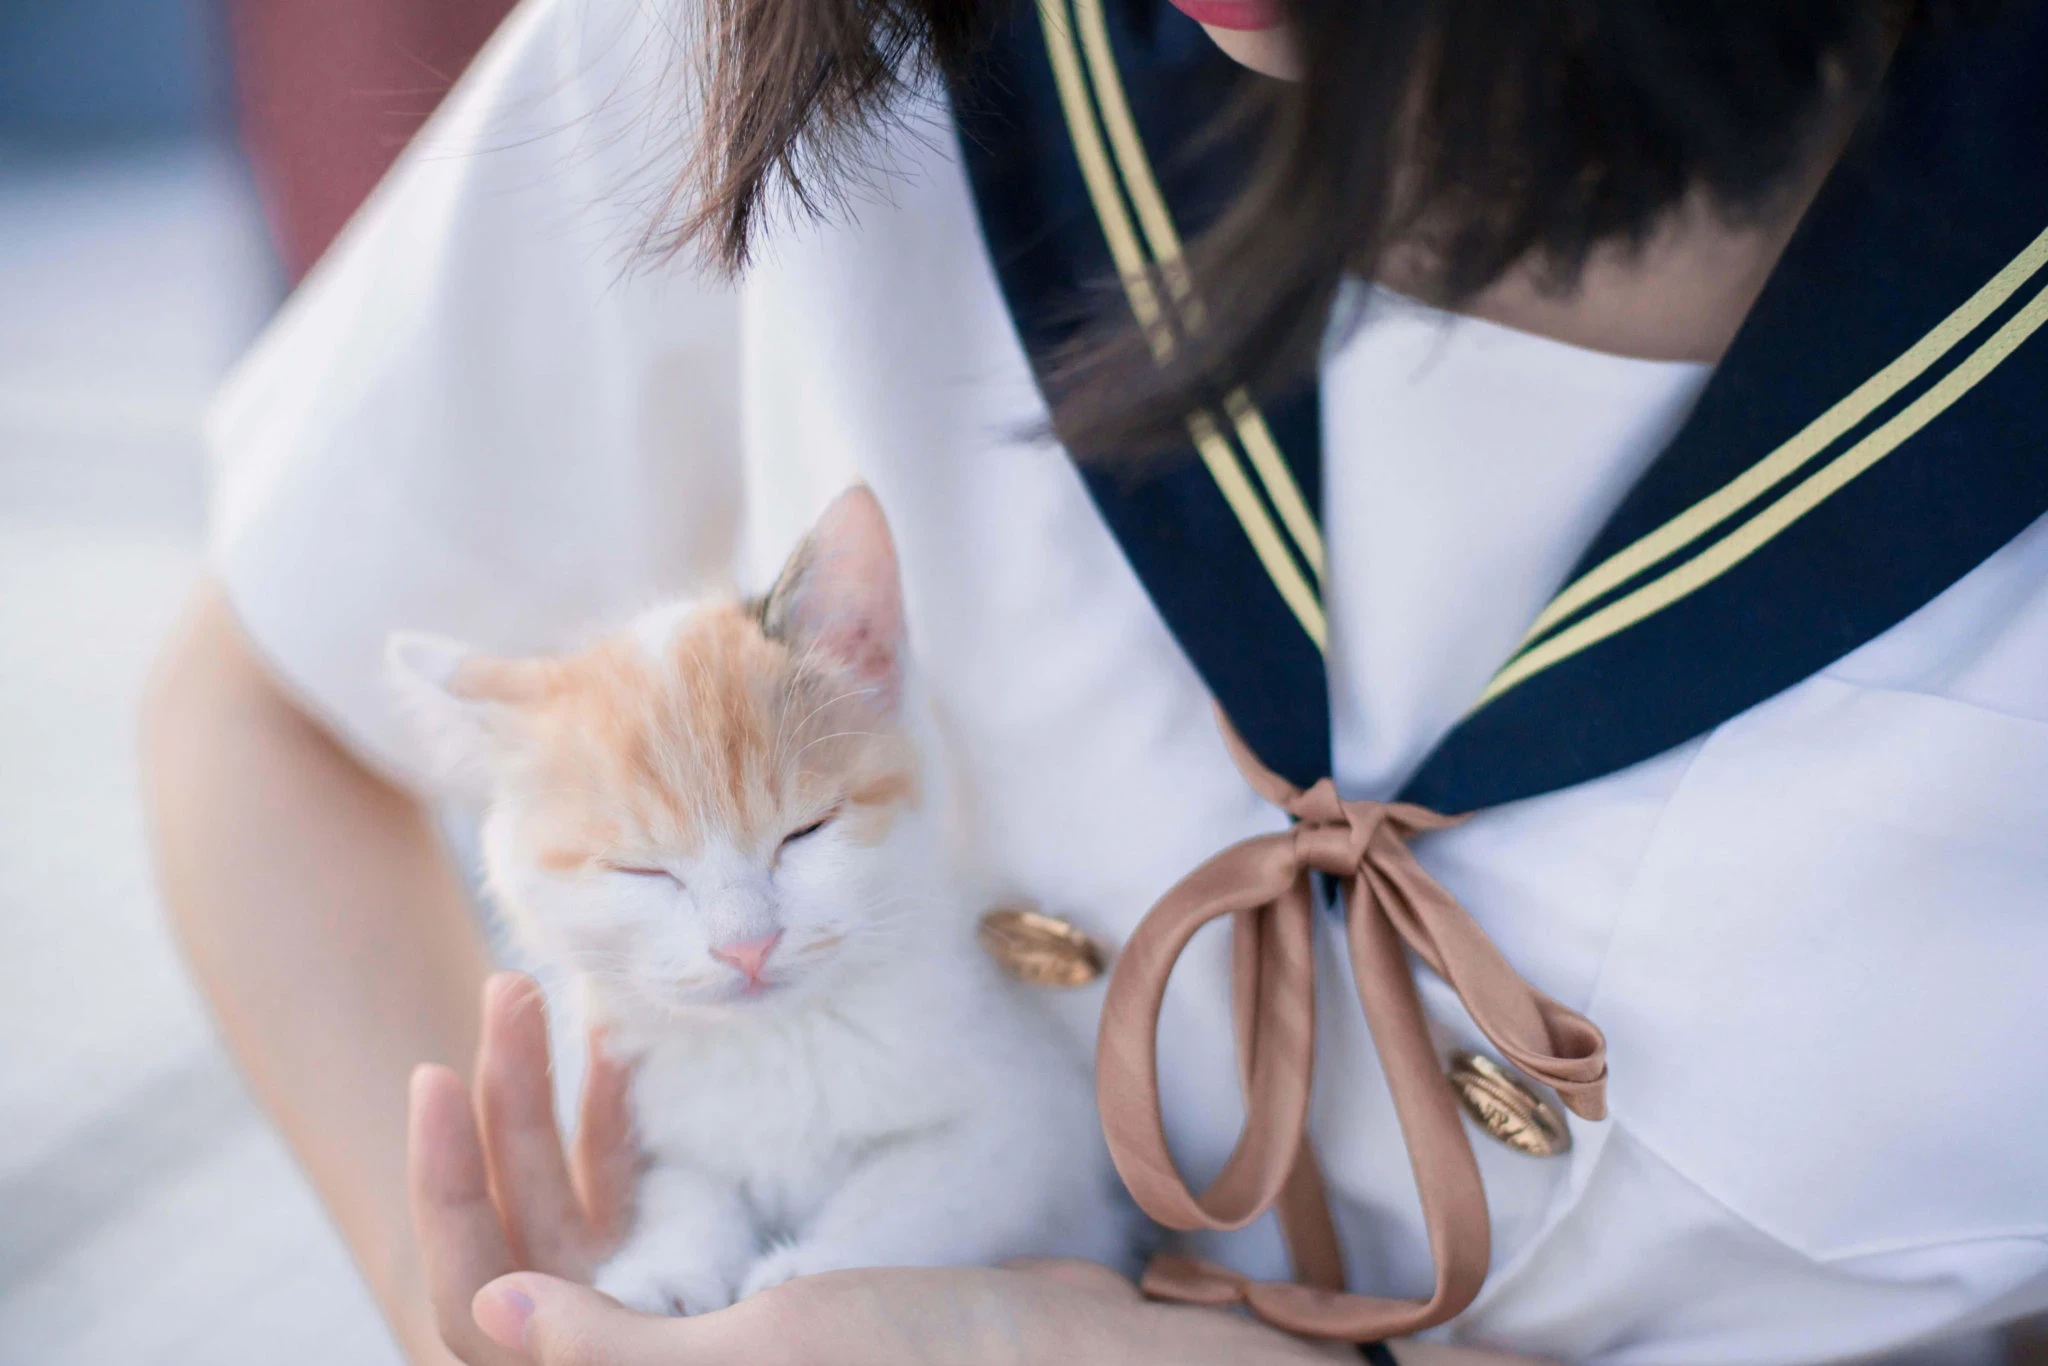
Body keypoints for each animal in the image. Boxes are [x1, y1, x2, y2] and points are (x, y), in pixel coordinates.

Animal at [391, 489, 1130, 1310]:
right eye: (643, 872)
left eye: (805, 830)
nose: (745, 945)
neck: (779, 1040)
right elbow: (688, 1189)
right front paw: (666, 1269)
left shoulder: (1034, 1125)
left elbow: (925, 1188)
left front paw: (821, 1266)